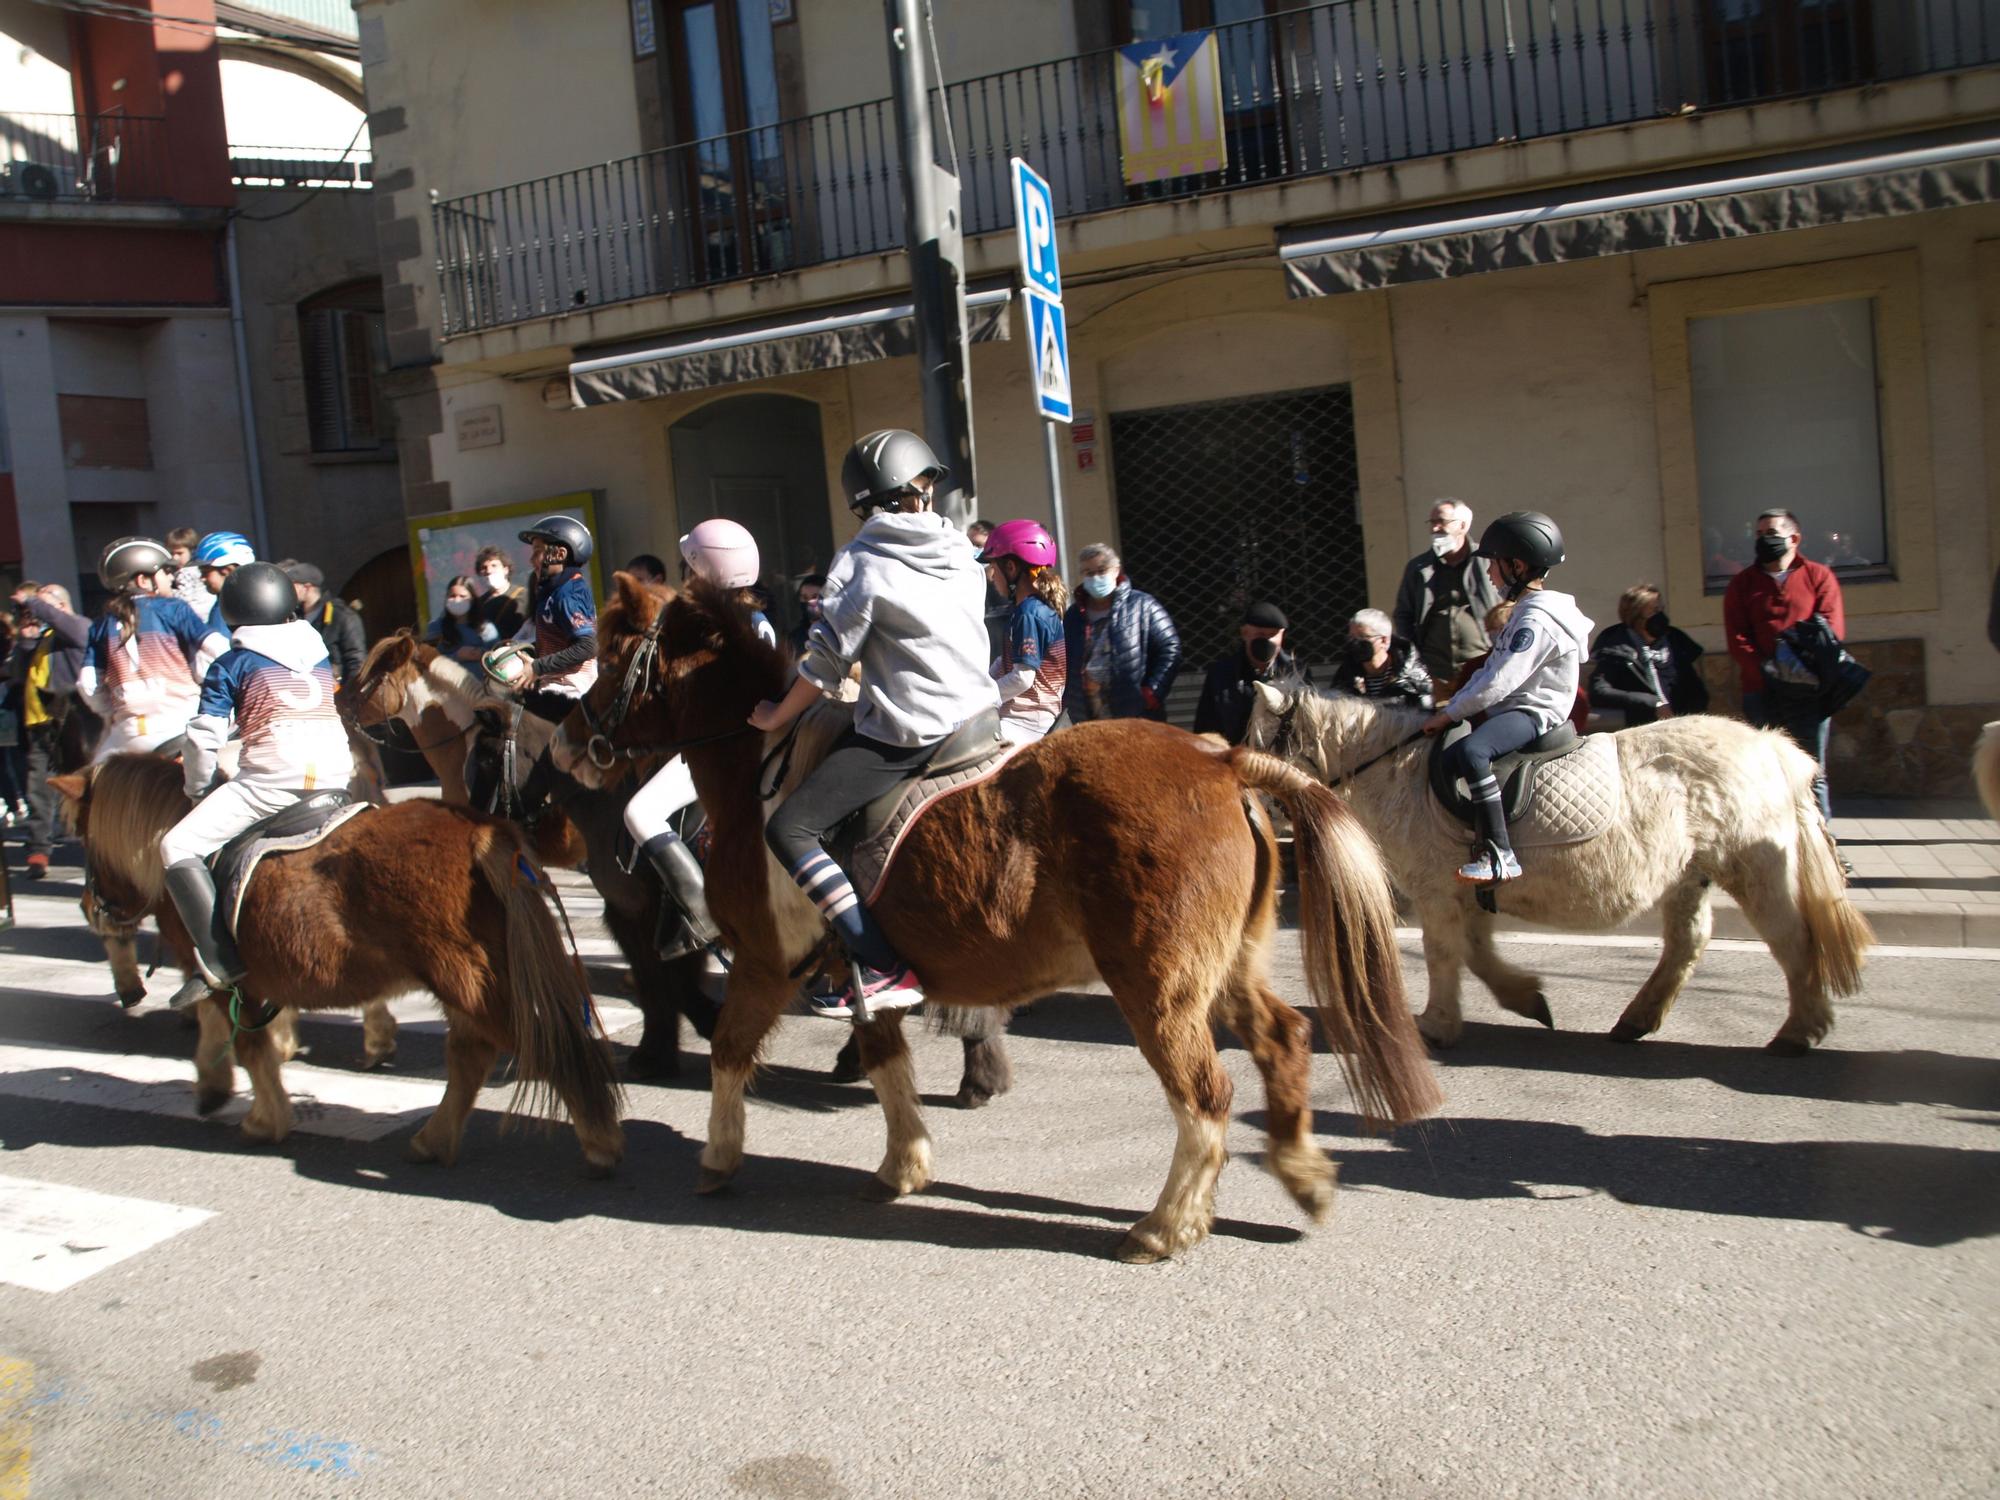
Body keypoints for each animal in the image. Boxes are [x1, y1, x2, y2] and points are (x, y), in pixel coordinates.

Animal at [52, 756, 624, 1184]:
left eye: (83, 833)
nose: (90, 907)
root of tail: (481, 833)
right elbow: (246, 1034)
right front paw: (232, 1084)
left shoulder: (215, 971)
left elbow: (243, 1042)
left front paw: (258, 1115)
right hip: (477, 978)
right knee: (473, 1056)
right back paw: (434, 1140)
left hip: (469, 982)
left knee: (541, 1047)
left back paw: (599, 1142)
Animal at [556, 576, 1448, 1272]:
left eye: (614, 655)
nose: (565, 740)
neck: (759, 770)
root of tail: (1222, 759)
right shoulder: (858, 973)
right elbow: (885, 1061)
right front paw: (904, 1165)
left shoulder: (766, 964)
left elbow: (733, 1050)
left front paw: (717, 1157)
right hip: (1224, 970)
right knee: (1283, 1042)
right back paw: (1303, 1174)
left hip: (1158, 986)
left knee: (1206, 1093)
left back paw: (1163, 1227)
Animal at [1240, 684, 1864, 1056]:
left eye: (1255, 738)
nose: (1244, 806)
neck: (1399, 771)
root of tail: (1772, 747)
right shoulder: (1466, 892)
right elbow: (1477, 954)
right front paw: (1525, 999)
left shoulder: (1437, 894)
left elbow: (1445, 954)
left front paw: (1437, 1025)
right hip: (1689, 876)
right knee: (1687, 943)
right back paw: (1637, 1020)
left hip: (1755, 868)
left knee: (1793, 940)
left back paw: (1799, 1030)